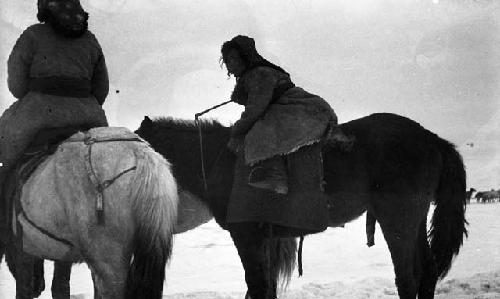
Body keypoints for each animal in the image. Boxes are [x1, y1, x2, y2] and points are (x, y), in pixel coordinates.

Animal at [134, 113, 468, 299]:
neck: (221, 160)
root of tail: (432, 139)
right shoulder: (267, 239)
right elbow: (265, 287)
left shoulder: (246, 236)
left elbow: (257, 285)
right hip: (414, 220)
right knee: (427, 272)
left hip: (397, 221)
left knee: (408, 278)